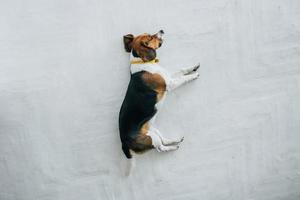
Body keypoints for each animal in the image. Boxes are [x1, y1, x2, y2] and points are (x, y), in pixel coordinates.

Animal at [118, 30, 200, 159]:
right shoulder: (170, 84)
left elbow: (181, 70)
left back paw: (174, 140)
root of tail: (123, 142)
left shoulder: (169, 76)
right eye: (150, 37)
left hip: (153, 130)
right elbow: (183, 78)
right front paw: (193, 76)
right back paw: (172, 147)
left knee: (163, 141)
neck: (143, 61)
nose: (162, 30)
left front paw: (193, 67)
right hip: (152, 138)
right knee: (160, 148)